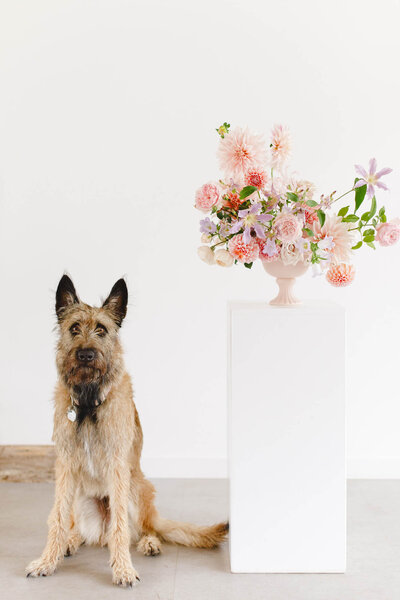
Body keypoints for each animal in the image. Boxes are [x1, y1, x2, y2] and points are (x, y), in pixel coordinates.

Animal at [25, 276, 228, 584]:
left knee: (141, 528)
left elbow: (120, 526)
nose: (85, 355)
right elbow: (57, 519)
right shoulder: (66, 467)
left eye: (101, 329)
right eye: (74, 328)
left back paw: (149, 542)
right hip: (80, 497)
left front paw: (122, 568)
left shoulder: (118, 467)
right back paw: (71, 541)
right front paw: (48, 560)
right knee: (81, 530)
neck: (89, 401)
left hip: (136, 488)